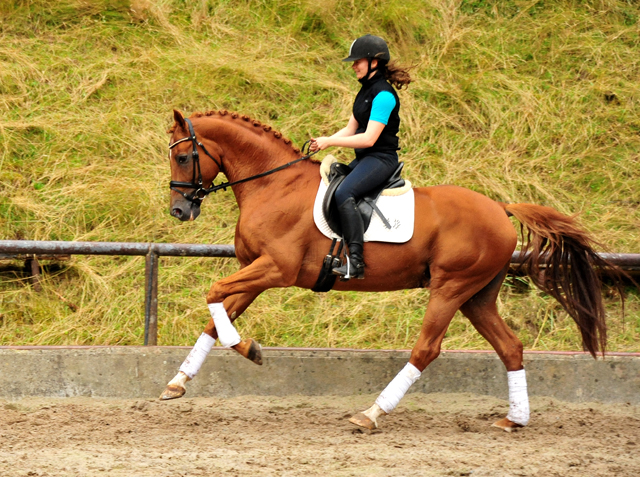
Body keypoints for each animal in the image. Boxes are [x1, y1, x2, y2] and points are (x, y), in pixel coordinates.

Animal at [161, 109, 620, 432]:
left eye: (183, 156)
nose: (180, 211)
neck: (274, 185)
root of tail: (501, 208)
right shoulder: (256, 272)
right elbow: (215, 315)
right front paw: (179, 382)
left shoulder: (276, 269)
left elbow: (213, 294)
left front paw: (247, 348)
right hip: (477, 296)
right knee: (510, 348)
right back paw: (514, 419)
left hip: (451, 288)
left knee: (427, 350)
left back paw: (371, 413)